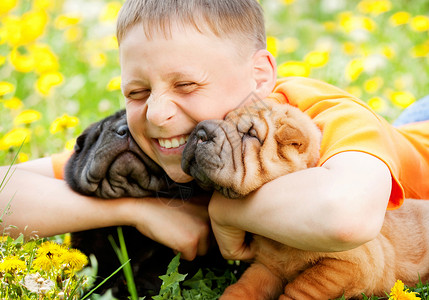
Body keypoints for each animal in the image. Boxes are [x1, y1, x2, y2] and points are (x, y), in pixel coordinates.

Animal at [181, 101, 428, 300]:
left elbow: (304, 287)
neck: (280, 242)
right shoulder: (267, 265)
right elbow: (244, 287)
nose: (200, 131)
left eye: (251, 134)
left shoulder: (354, 264)